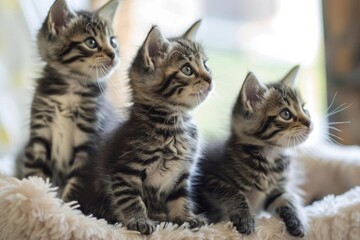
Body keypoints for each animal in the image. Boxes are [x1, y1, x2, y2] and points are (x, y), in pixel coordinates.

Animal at [16, 0, 121, 203]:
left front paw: (65, 206)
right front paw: (38, 199)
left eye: (113, 41)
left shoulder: (88, 146)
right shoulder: (39, 135)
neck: (70, 87)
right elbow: (36, 175)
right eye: (91, 42)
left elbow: (74, 188)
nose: (114, 54)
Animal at [95, 20, 212, 234]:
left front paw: (184, 217)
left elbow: (180, 198)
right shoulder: (124, 171)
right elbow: (130, 199)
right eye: (187, 70)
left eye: (206, 65)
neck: (175, 125)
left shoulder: (182, 174)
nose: (209, 78)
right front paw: (139, 220)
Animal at [191, 66, 312, 238]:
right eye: (286, 114)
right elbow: (232, 191)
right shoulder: (209, 178)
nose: (310, 123)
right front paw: (245, 218)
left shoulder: (277, 189)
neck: (269, 159)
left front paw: (297, 220)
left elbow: (288, 197)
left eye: (304, 109)